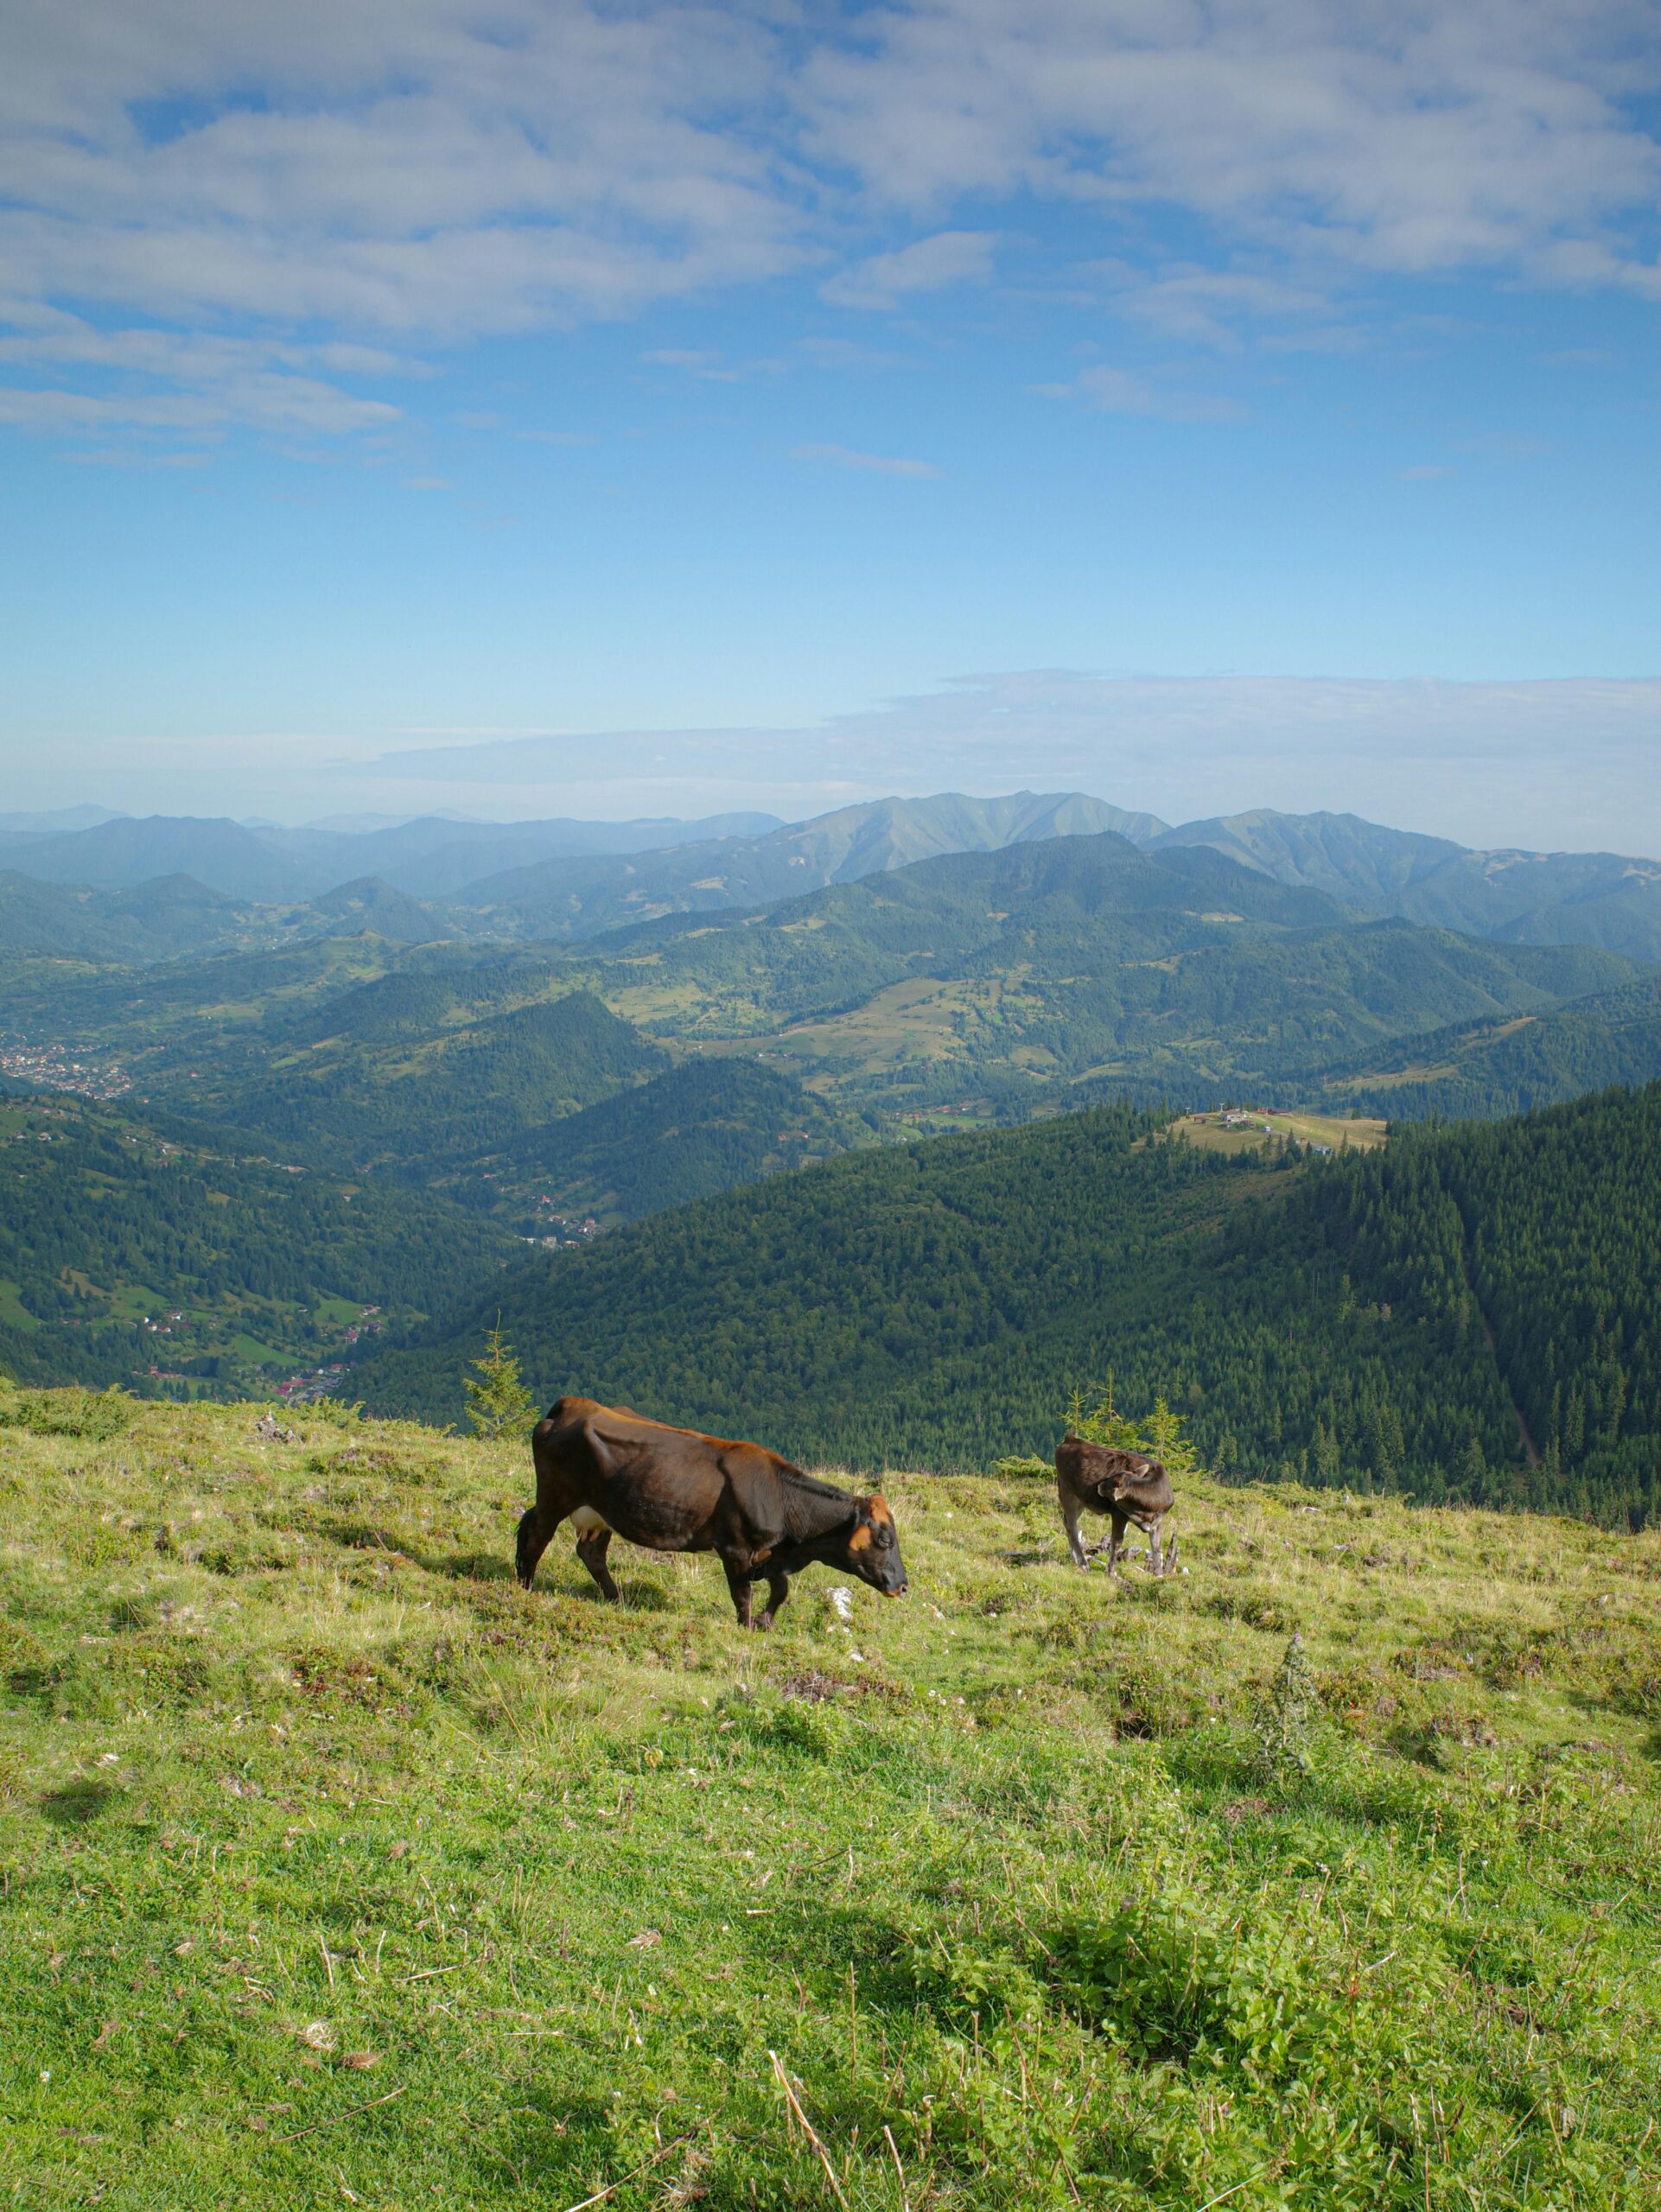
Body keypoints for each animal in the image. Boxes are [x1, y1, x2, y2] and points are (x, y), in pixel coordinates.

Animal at [515, 1396, 908, 1629]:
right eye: (885, 1540)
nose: (903, 1586)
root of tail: (572, 1405)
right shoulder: (734, 1548)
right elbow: (742, 1594)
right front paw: (746, 1625)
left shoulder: (768, 1555)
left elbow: (781, 1590)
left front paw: (764, 1621)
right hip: (556, 1496)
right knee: (537, 1534)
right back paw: (525, 1587)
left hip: (599, 1513)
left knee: (588, 1551)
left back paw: (617, 1599)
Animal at [1055, 1433, 1177, 1576]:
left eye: (1111, 1484)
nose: (1099, 1486)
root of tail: (1071, 1439)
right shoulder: (1119, 1514)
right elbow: (1117, 1543)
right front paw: (1112, 1572)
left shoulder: (1157, 1522)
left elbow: (1156, 1547)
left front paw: (1158, 1574)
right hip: (1067, 1492)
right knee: (1072, 1527)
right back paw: (1083, 1563)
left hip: (1081, 1499)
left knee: (1067, 1523)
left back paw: (1074, 1558)